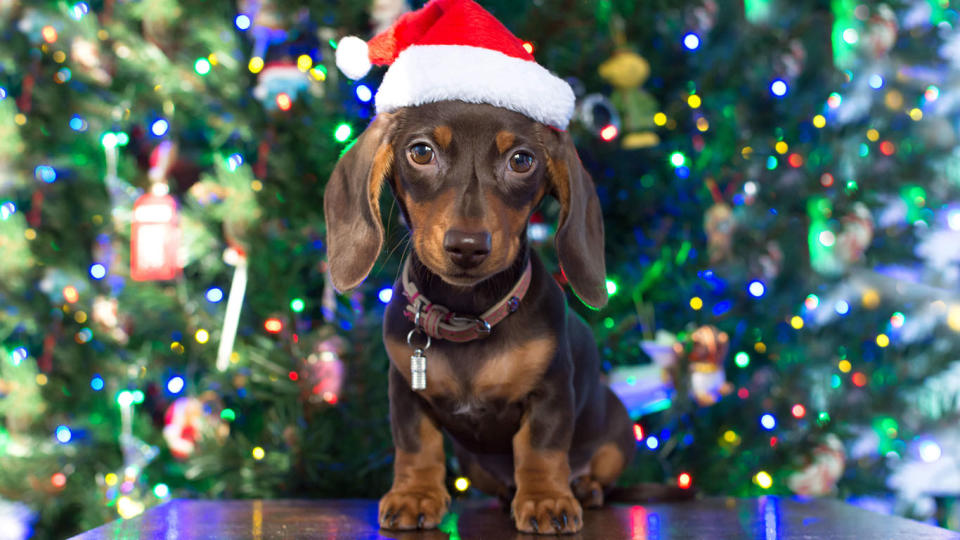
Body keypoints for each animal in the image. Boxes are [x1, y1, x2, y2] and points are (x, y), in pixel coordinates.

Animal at [326, 102, 632, 536]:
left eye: (521, 160)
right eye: (420, 152)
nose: (467, 247)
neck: (467, 314)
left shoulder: (552, 390)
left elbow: (541, 448)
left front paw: (546, 499)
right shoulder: (405, 391)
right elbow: (416, 445)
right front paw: (415, 495)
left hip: (617, 438)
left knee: (599, 471)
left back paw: (583, 487)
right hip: (473, 464)